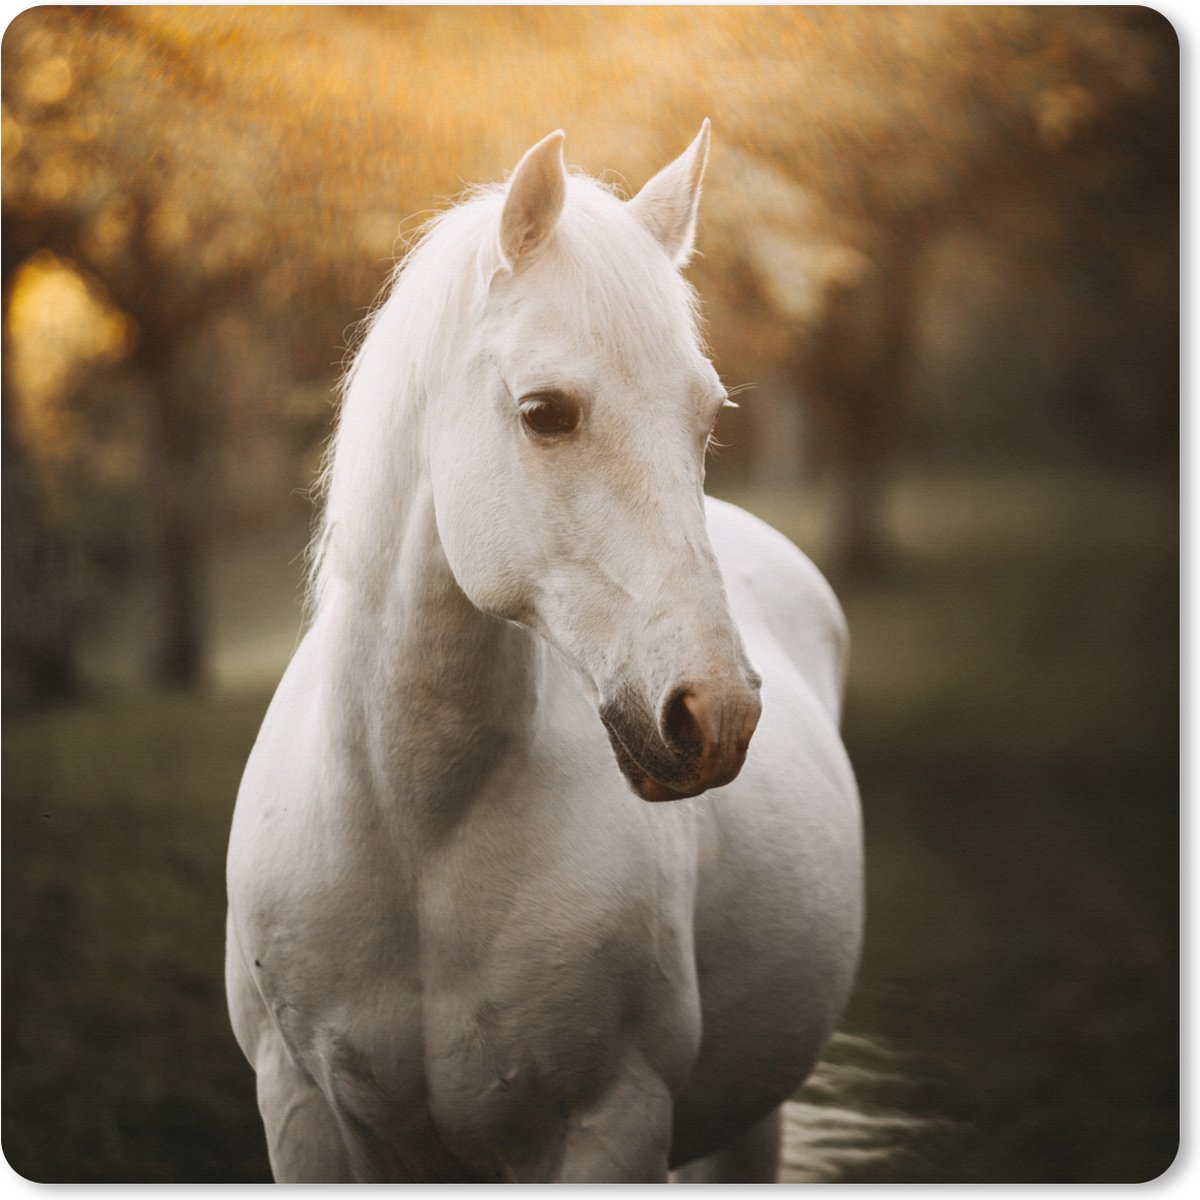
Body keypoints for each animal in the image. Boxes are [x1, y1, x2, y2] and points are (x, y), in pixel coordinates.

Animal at [225, 123, 863, 1183]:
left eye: (706, 417)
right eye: (546, 413)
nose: (717, 714)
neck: (415, 827)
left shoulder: (611, 1124)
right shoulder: (304, 1110)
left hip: (748, 1126)